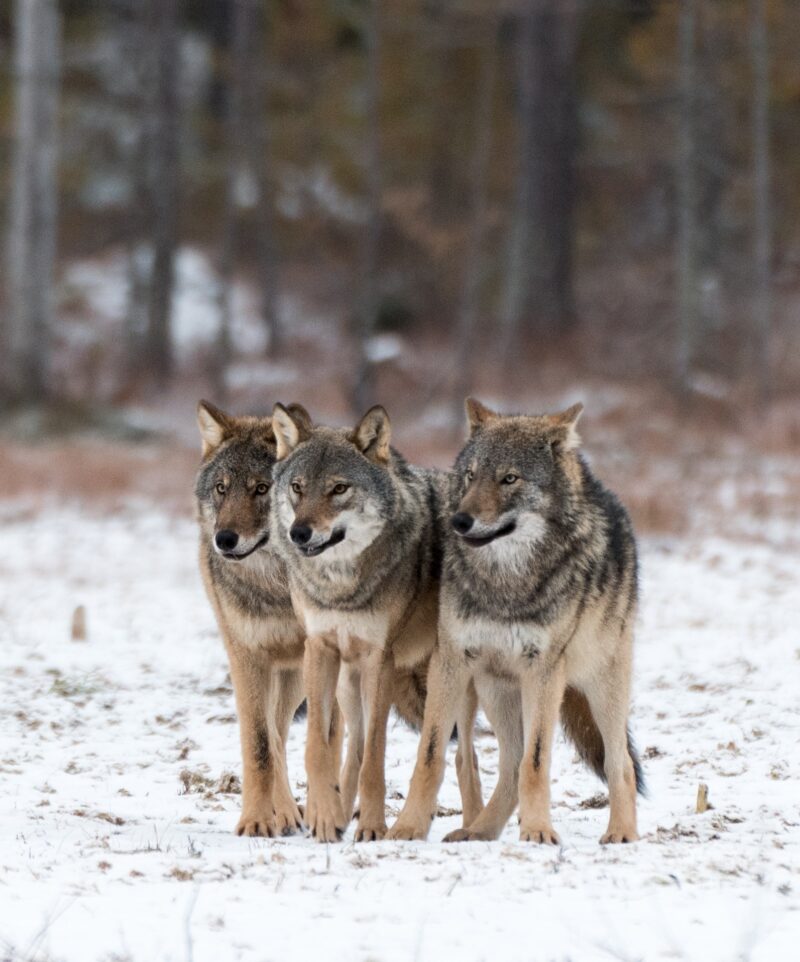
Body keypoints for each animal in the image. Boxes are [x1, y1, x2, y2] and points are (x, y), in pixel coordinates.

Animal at [195, 400, 312, 838]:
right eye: (221, 488)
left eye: (261, 489)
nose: (224, 540)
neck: (276, 590)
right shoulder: (245, 655)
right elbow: (260, 744)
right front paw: (257, 821)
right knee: (272, 734)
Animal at [270, 404, 482, 843]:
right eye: (298, 487)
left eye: (339, 489)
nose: (300, 533)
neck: (341, 586)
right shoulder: (320, 648)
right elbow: (319, 748)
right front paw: (322, 817)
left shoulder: (379, 658)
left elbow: (375, 758)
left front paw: (371, 827)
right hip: (349, 684)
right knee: (352, 749)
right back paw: (337, 813)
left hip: (451, 684)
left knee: (465, 758)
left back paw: (471, 829)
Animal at [389, 398, 644, 845]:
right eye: (471, 475)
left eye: (509, 479)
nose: (459, 521)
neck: (505, 584)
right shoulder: (450, 660)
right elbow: (432, 754)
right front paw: (407, 827)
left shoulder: (543, 669)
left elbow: (537, 760)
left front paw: (539, 831)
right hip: (496, 690)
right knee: (508, 764)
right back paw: (478, 831)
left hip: (602, 688)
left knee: (619, 763)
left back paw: (621, 833)